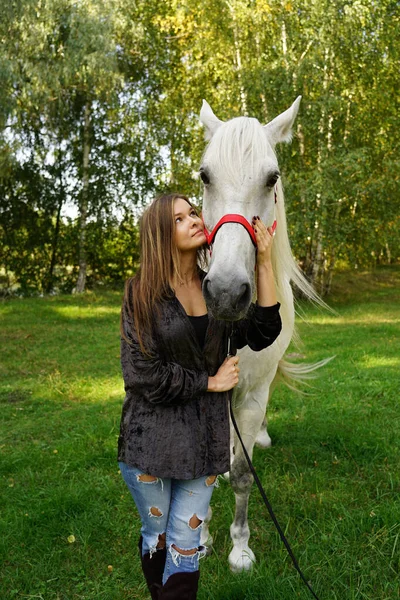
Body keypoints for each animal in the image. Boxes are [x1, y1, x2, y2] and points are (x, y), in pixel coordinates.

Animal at [197, 97, 324, 572]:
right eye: (205, 175)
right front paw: (200, 536)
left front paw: (240, 548)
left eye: (272, 178)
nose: (226, 292)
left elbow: (242, 474)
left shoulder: (251, 397)